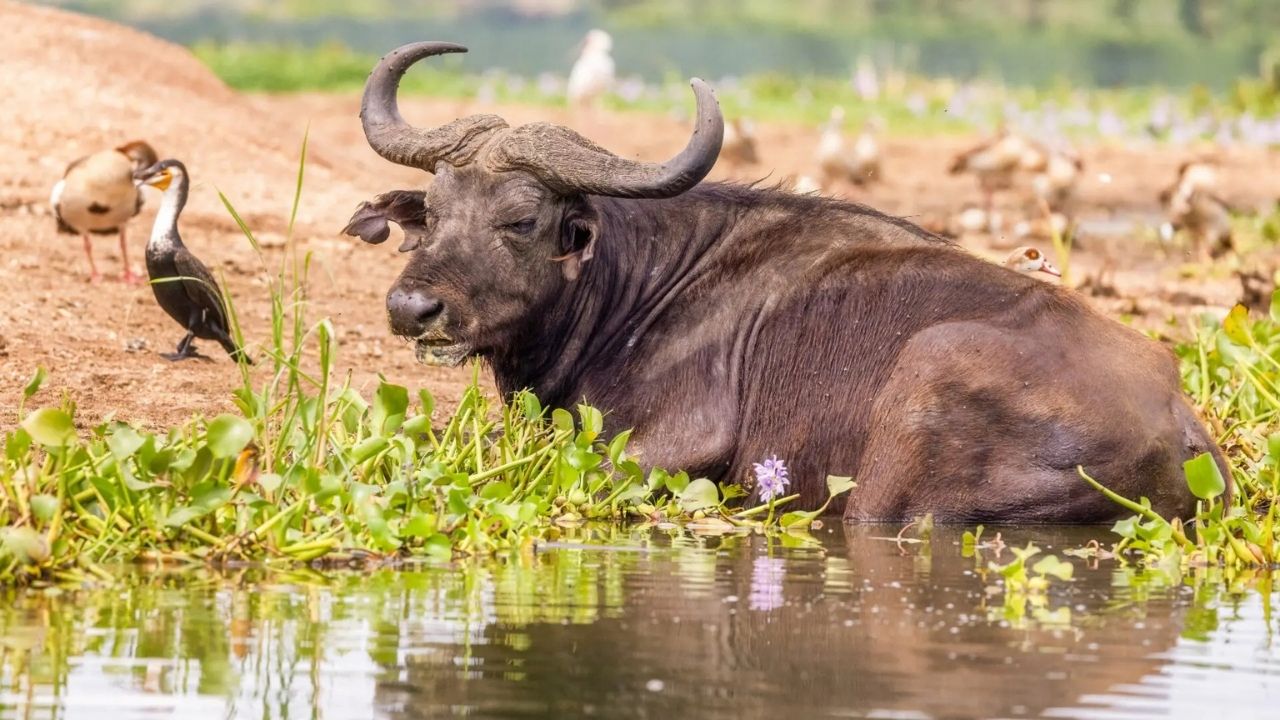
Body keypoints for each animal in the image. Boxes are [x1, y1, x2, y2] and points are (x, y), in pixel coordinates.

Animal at [346, 41, 1227, 522]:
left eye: (522, 220)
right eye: (432, 211)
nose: (413, 307)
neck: (635, 290)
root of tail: (1180, 425)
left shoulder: (660, 451)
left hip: (911, 424)